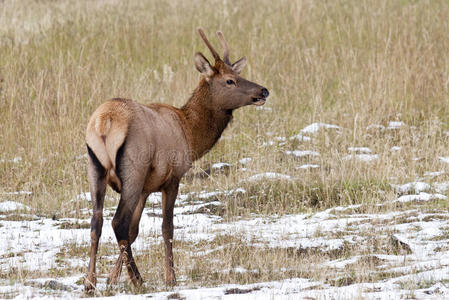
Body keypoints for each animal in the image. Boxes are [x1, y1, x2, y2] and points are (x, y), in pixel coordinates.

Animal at [84, 28, 270, 290]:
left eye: (237, 74)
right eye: (229, 80)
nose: (263, 91)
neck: (190, 135)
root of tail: (104, 122)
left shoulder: (146, 188)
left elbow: (134, 231)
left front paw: (111, 278)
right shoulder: (172, 178)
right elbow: (166, 228)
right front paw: (170, 277)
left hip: (95, 169)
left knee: (97, 221)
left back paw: (90, 282)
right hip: (133, 169)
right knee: (117, 222)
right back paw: (138, 279)